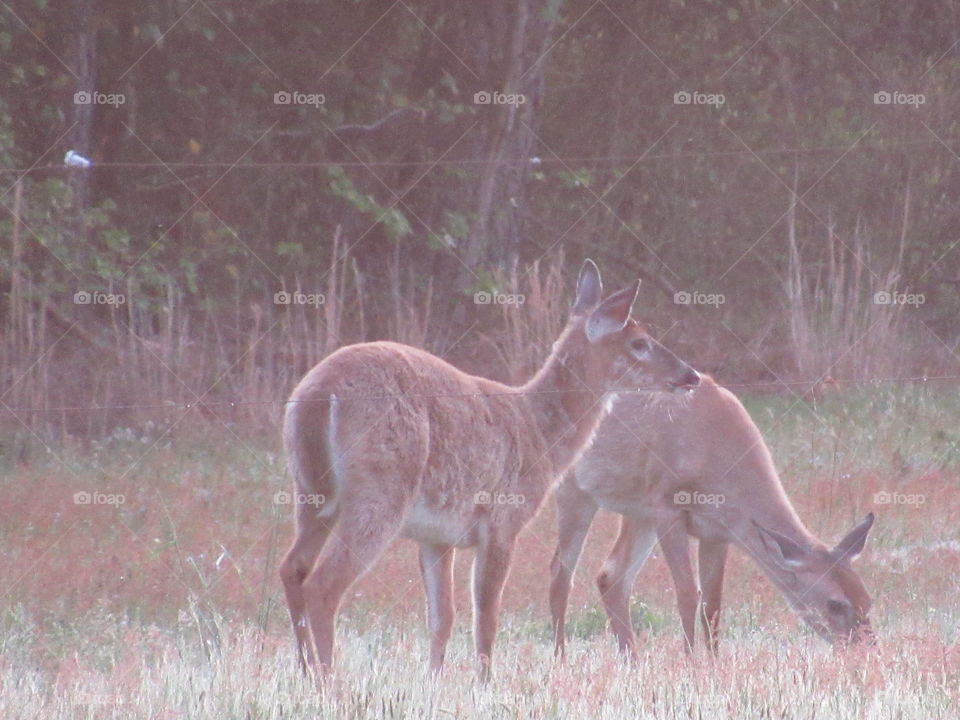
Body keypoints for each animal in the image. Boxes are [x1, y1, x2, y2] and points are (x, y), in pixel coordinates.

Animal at [279, 259, 700, 680]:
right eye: (639, 342)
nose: (691, 375)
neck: (541, 433)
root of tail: (320, 392)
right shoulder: (503, 520)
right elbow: (486, 618)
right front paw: (483, 682)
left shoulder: (436, 535)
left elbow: (443, 617)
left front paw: (436, 679)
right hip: (380, 490)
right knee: (323, 584)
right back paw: (328, 681)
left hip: (311, 490)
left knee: (292, 568)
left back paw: (305, 671)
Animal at [549, 374, 875, 657]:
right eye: (835, 604)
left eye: (867, 599)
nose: (865, 649)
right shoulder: (667, 507)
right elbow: (687, 593)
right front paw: (691, 664)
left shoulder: (719, 532)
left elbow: (712, 604)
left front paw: (714, 665)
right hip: (575, 491)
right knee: (560, 572)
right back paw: (560, 659)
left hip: (637, 513)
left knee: (611, 575)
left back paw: (633, 661)